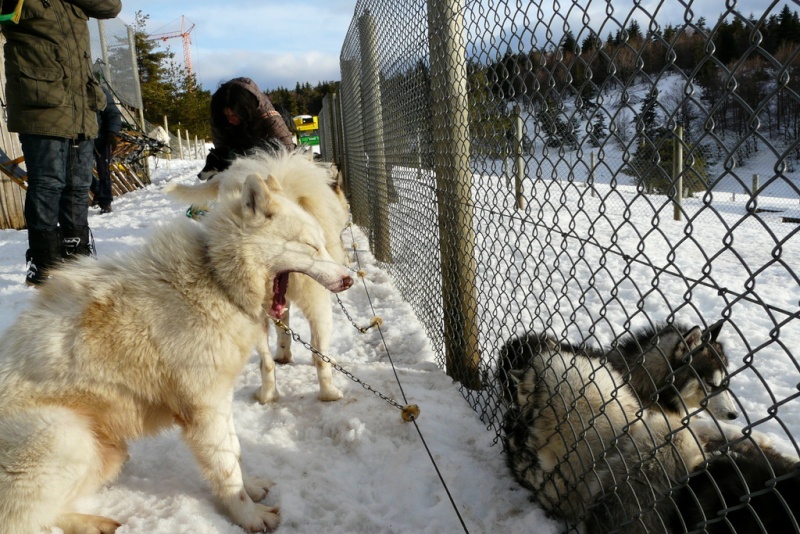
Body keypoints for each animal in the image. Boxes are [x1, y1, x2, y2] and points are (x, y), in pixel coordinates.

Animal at [0, 176, 354, 534]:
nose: (349, 279)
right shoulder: (204, 411)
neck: (215, 279)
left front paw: (252, 487)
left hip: (109, 453)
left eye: (322, 243)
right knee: (24, 520)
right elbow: (227, 471)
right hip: (65, 437)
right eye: (309, 246)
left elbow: (236, 451)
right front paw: (250, 516)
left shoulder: (220, 401)